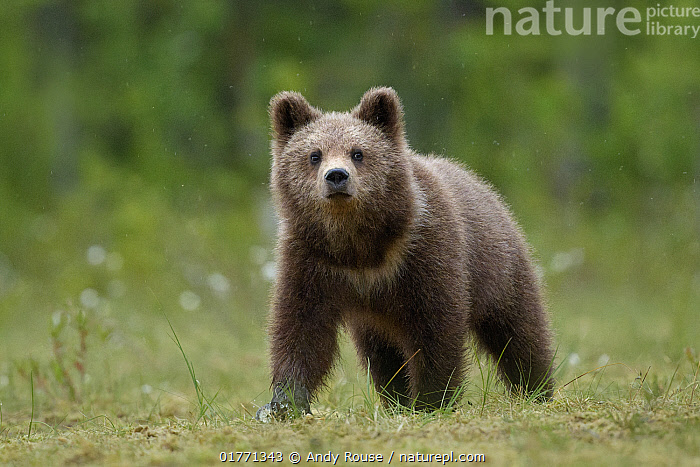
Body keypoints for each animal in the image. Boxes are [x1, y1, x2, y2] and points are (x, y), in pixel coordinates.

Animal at [255, 87, 556, 421]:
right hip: (374, 322)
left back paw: (537, 389)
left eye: (358, 152)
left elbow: (436, 329)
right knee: (383, 357)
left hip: (500, 271)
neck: (360, 250)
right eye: (314, 155)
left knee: (519, 333)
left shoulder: (425, 252)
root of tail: (486, 189)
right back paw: (394, 397)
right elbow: (301, 328)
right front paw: (284, 402)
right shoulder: (312, 260)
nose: (336, 176)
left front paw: (430, 401)